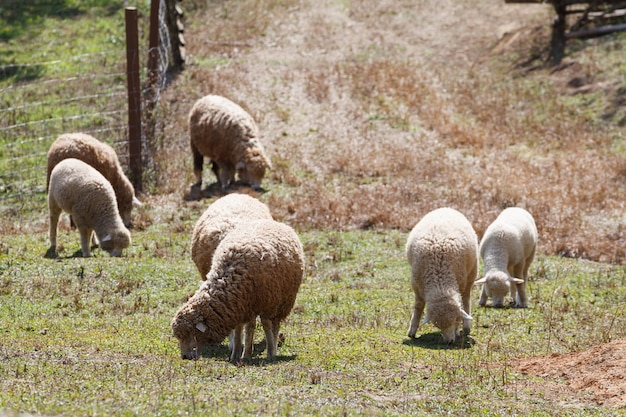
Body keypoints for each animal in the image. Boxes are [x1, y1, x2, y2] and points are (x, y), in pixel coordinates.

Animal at [172, 218, 304, 360]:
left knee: (274, 325)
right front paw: (236, 354)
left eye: (191, 334)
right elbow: (239, 328)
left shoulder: (264, 303)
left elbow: (261, 326)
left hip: (283, 300)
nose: (185, 356)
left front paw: (262, 353)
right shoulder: (240, 306)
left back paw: (271, 349)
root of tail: (275, 223)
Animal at [404, 206, 478, 342]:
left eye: (455, 320)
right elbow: (418, 306)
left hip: (471, 274)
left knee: (466, 299)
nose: (449, 342)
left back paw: (466, 327)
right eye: (437, 325)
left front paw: (457, 330)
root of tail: (446, 208)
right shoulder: (417, 286)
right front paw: (412, 330)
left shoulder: (460, 282)